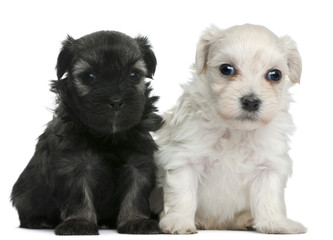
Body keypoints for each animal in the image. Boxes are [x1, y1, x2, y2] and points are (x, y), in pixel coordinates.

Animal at [11, 31, 163, 235]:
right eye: (89, 77)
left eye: (134, 75)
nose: (116, 101)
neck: (107, 136)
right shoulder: (74, 165)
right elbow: (79, 196)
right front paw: (79, 222)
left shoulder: (138, 163)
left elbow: (136, 193)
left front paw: (136, 220)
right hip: (26, 194)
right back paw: (40, 222)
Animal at [153, 24, 306, 234]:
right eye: (226, 69)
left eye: (275, 75)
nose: (251, 101)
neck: (236, 130)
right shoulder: (184, 158)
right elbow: (183, 194)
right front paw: (179, 222)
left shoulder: (269, 166)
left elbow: (269, 199)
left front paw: (276, 223)